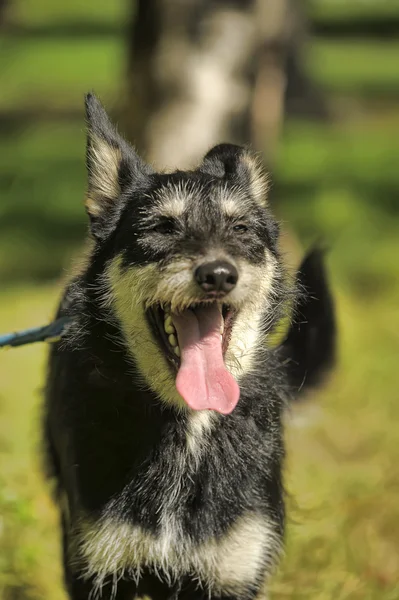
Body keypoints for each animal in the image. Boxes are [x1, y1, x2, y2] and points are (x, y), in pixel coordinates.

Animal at [43, 91, 336, 596]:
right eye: (162, 228)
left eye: (241, 229)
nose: (218, 274)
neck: (188, 427)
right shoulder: (99, 566)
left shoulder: (233, 568)